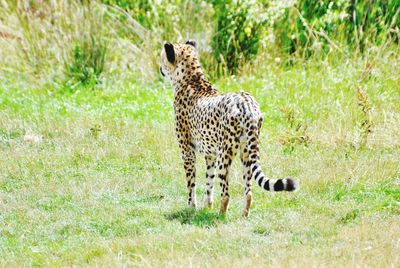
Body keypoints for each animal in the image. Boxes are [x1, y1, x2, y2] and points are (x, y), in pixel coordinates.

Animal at [159, 39, 296, 217]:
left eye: (162, 57)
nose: (160, 68)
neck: (191, 79)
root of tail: (247, 105)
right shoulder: (211, 154)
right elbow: (208, 181)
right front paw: (207, 206)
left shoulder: (187, 151)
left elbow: (191, 183)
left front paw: (191, 207)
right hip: (247, 153)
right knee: (249, 191)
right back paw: (244, 215)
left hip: (226, 153)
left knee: (226, 193)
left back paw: (220, 216)